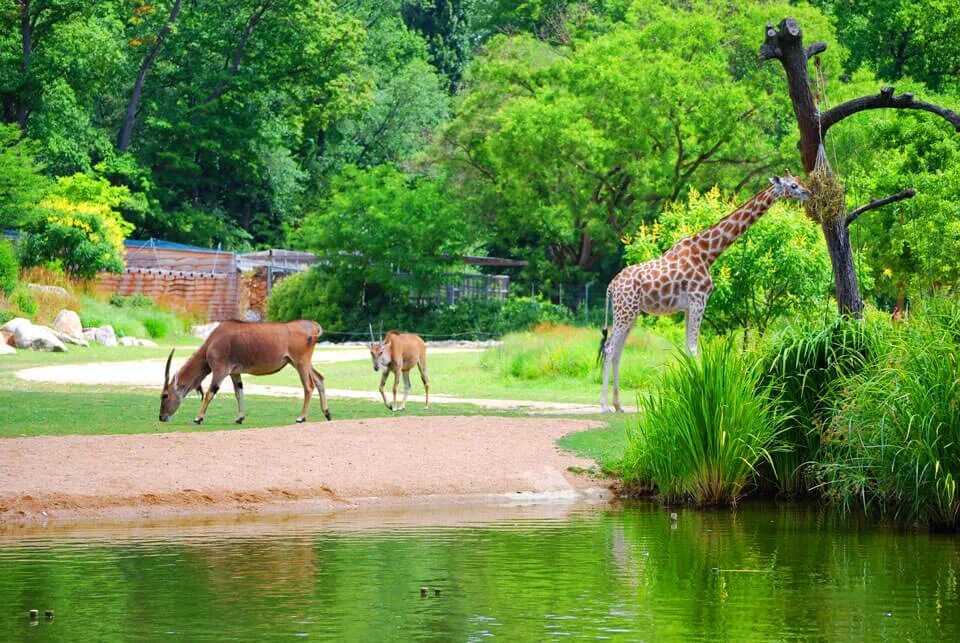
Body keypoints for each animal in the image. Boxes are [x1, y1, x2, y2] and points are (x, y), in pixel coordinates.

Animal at [159, 320, 332, 426]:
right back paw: (327, 413)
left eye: (165, 395)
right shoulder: (234, 373)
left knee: (308, 387)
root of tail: (313, 326)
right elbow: (239, 392)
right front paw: (239, 418)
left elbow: (210, 393)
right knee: (319, 379)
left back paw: (301, 418)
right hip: (301, 364)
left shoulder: (220, 370)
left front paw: (198, 418)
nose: (161, 417)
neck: (212, 342)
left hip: (300, 363)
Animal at [596, 172, 812, 412]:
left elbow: (688, 348)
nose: (809, 193)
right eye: (793, 185)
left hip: (630, 313)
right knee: (609, 347)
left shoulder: (689, 306)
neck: (708, 254)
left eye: (799, 182)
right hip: (625, 311)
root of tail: (611, 286)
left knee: (617, 351)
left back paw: (618, 405)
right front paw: (700, 397)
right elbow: (693, 348)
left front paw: (687, 397)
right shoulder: (699, 299)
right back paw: (604, 405)